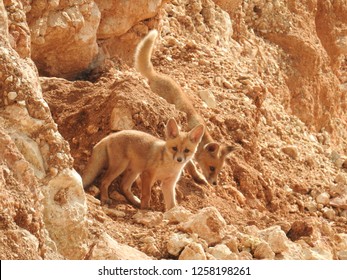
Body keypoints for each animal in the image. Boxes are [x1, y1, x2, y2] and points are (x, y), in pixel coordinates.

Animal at [135, 29, 235, 185]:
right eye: (212, 168)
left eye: (219, 170)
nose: (214, 183)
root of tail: (156, 75)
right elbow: (191, 166)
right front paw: (197, 176)